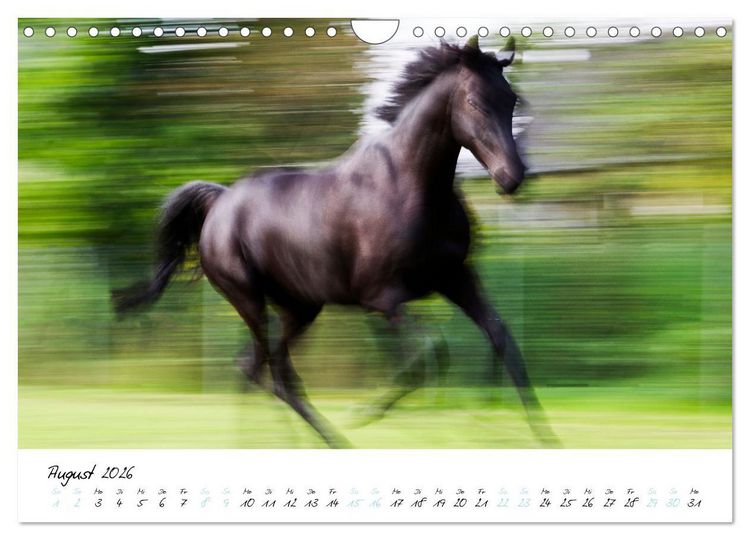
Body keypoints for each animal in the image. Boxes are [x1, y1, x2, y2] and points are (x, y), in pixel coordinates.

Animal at [113, 36, 558, 448]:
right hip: (250, 299)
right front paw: (367, 412)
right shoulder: (382, 298)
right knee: (273, 371)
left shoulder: (455, 278)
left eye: (511, 99)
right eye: (475, 101)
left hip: (299, 308)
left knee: (258, 367)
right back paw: (331, 441)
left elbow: (501, 338)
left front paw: (535, 435)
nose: (512, 177)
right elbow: (429, 353)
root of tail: (219, 201)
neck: (413, 187)